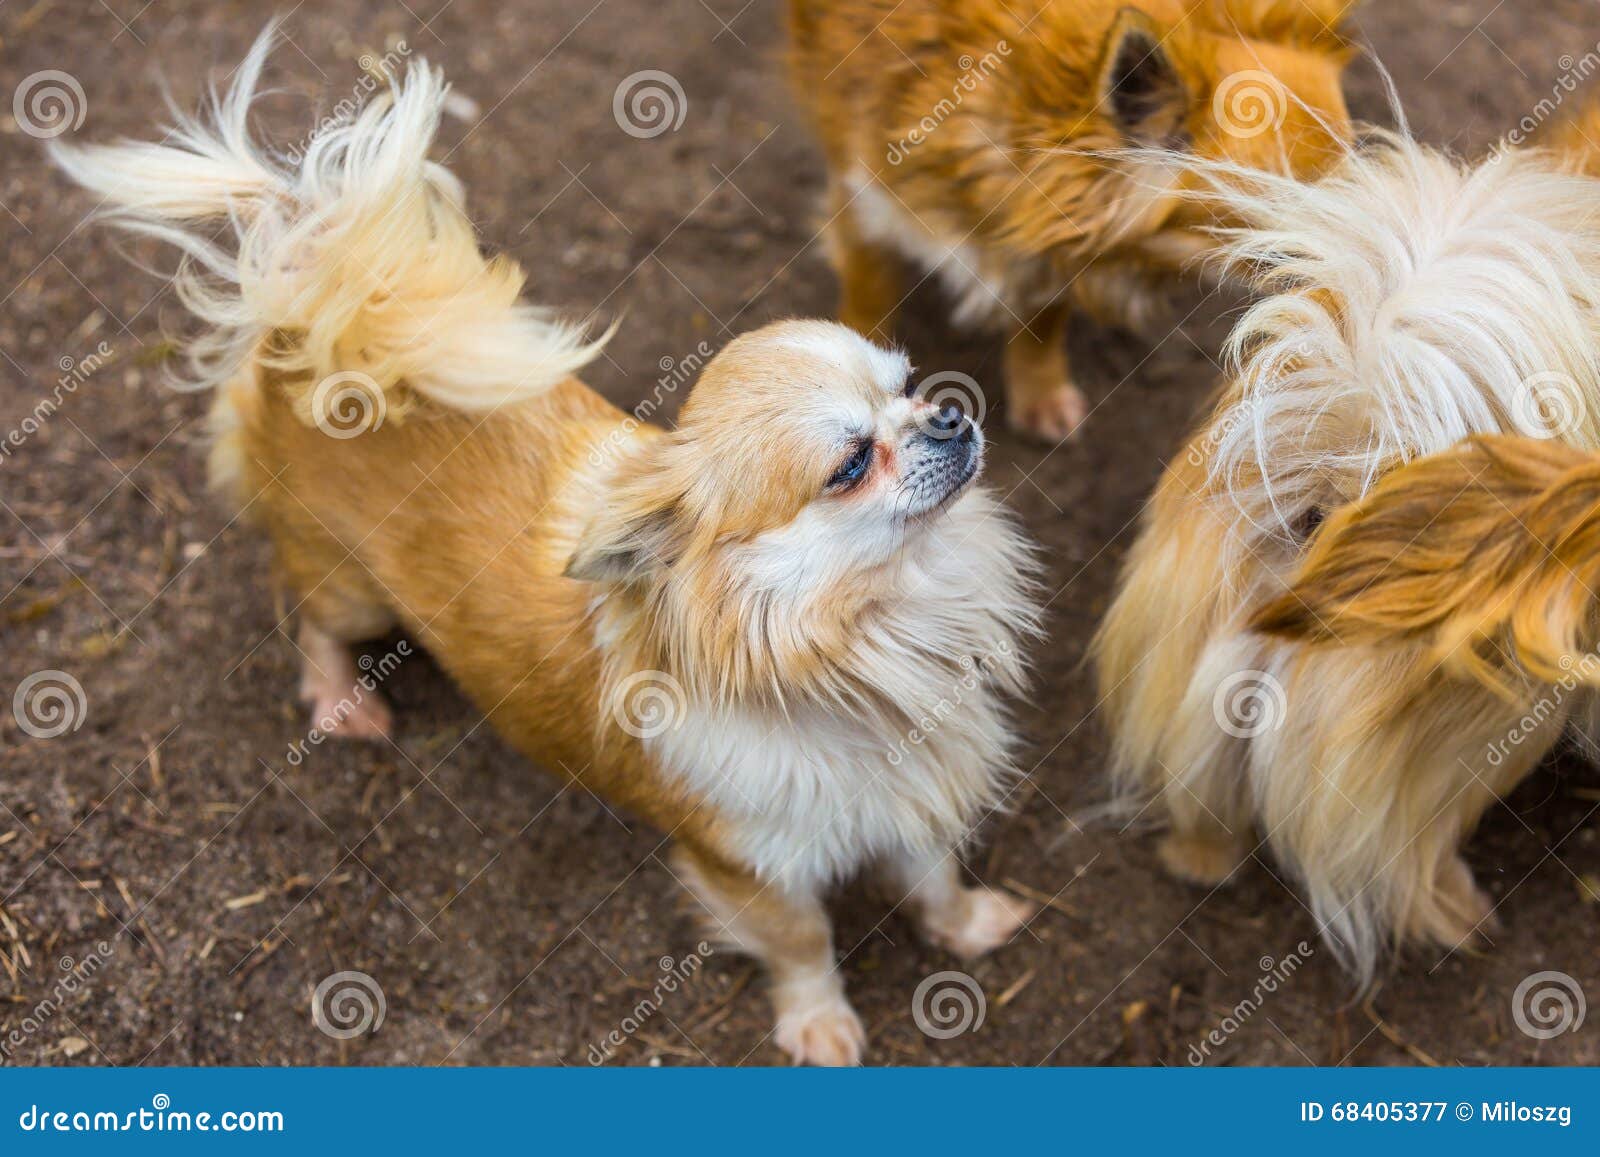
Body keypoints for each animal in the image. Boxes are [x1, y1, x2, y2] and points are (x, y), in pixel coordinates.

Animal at [53, 31, 1036, 1068]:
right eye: (850, 463)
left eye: (910, 385)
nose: (951, 415)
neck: (872, 631)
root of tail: (311, 328)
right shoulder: (754, 866)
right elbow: (803, 942)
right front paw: (818, 1023)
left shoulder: (916, 790)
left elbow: (933, 874)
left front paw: (967, 926)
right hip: (351, 589)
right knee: (306, 613)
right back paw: (338, 698)